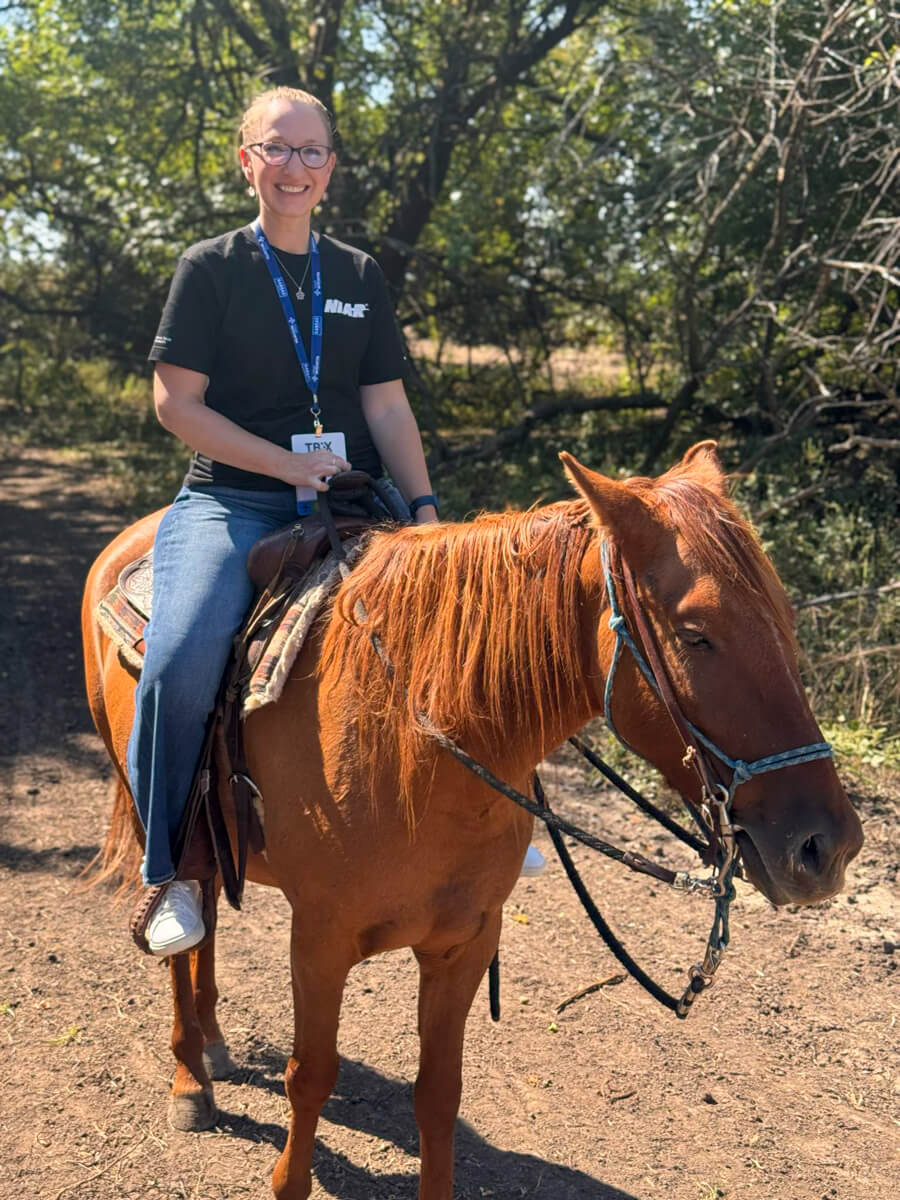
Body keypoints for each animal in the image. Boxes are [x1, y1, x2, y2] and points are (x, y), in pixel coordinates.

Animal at [81, 442, 863, 1200]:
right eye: (696, 635)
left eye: (786, 619)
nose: (827, 847)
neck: (414, 743)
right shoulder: (319, 942)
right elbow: (311, 1075)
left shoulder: (465, 944)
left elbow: (438, 1094)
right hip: (152, 808)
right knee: (180, 929)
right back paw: (190, 1078)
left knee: (207, 911)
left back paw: (212, 1042)